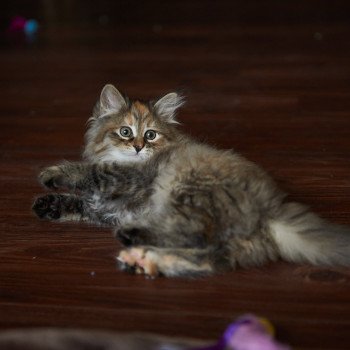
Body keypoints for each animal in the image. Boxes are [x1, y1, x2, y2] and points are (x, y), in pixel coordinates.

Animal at [32, 84, 350, 276]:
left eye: (150, 135)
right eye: (125, 132)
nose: (138, 147)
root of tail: (267, 211)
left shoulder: (126, 178)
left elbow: (87, 172)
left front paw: (51, 173)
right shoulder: (105, 207)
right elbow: (79, 202)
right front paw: (47, 204)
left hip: (185, 191)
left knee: (191, 232)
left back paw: (133, 237)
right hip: (229, 242)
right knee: (207, 258)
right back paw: (147, 259)